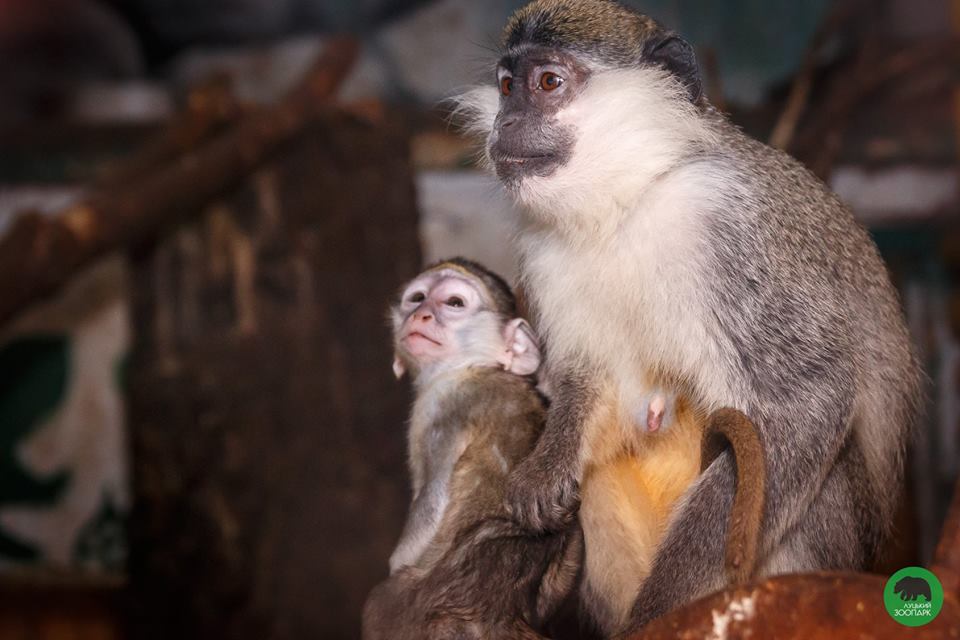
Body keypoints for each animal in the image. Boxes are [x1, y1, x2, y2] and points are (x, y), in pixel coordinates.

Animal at [366, 258, 576, 640]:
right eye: (417, 298)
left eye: (453, 303)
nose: (420, 315)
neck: (473, 366)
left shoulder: (444, 406)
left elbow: (431, 504)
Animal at [456, 0, 924, 632]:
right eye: (507, 87)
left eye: (548, 83)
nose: (505, 124)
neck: (629, 200)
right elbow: (593, 385)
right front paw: (544, 469)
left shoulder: (726, 224)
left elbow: (807, 399)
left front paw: (657, 612)